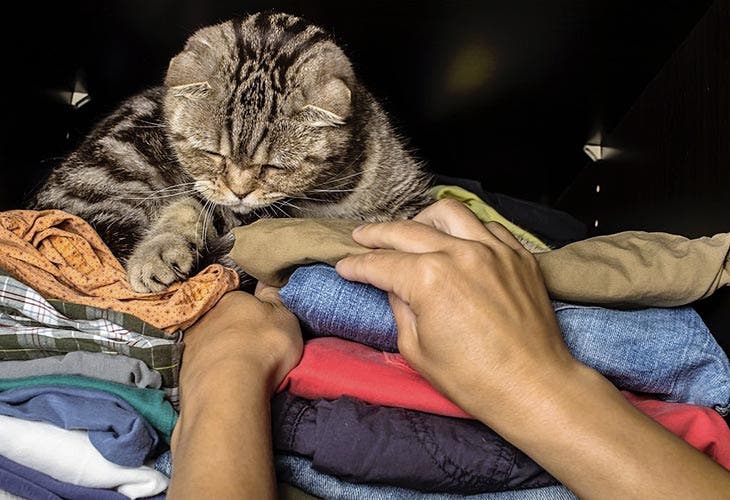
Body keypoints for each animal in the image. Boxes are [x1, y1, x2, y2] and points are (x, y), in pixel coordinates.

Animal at [31, 11, 432, 292]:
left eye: (274, 167)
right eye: (213, 154)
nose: (240, 191)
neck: (337, 184)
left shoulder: (410, 200)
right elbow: (194, 208)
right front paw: (158, 251)